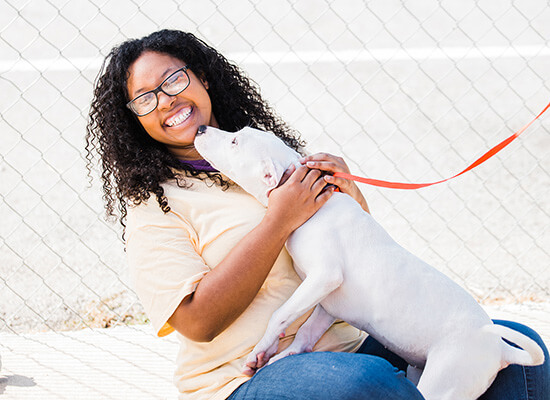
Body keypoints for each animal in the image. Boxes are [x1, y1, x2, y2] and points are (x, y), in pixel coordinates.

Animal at [193, 125, 544, 400]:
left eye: (236, 141)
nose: (200, 129)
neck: (314, 207)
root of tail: (499, 350)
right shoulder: (327, 301)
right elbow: (306, 331)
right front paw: (282, 356)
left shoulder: (324, 276)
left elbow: (280, 315)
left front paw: (260, 350)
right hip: (420, 372)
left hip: (446, 383)